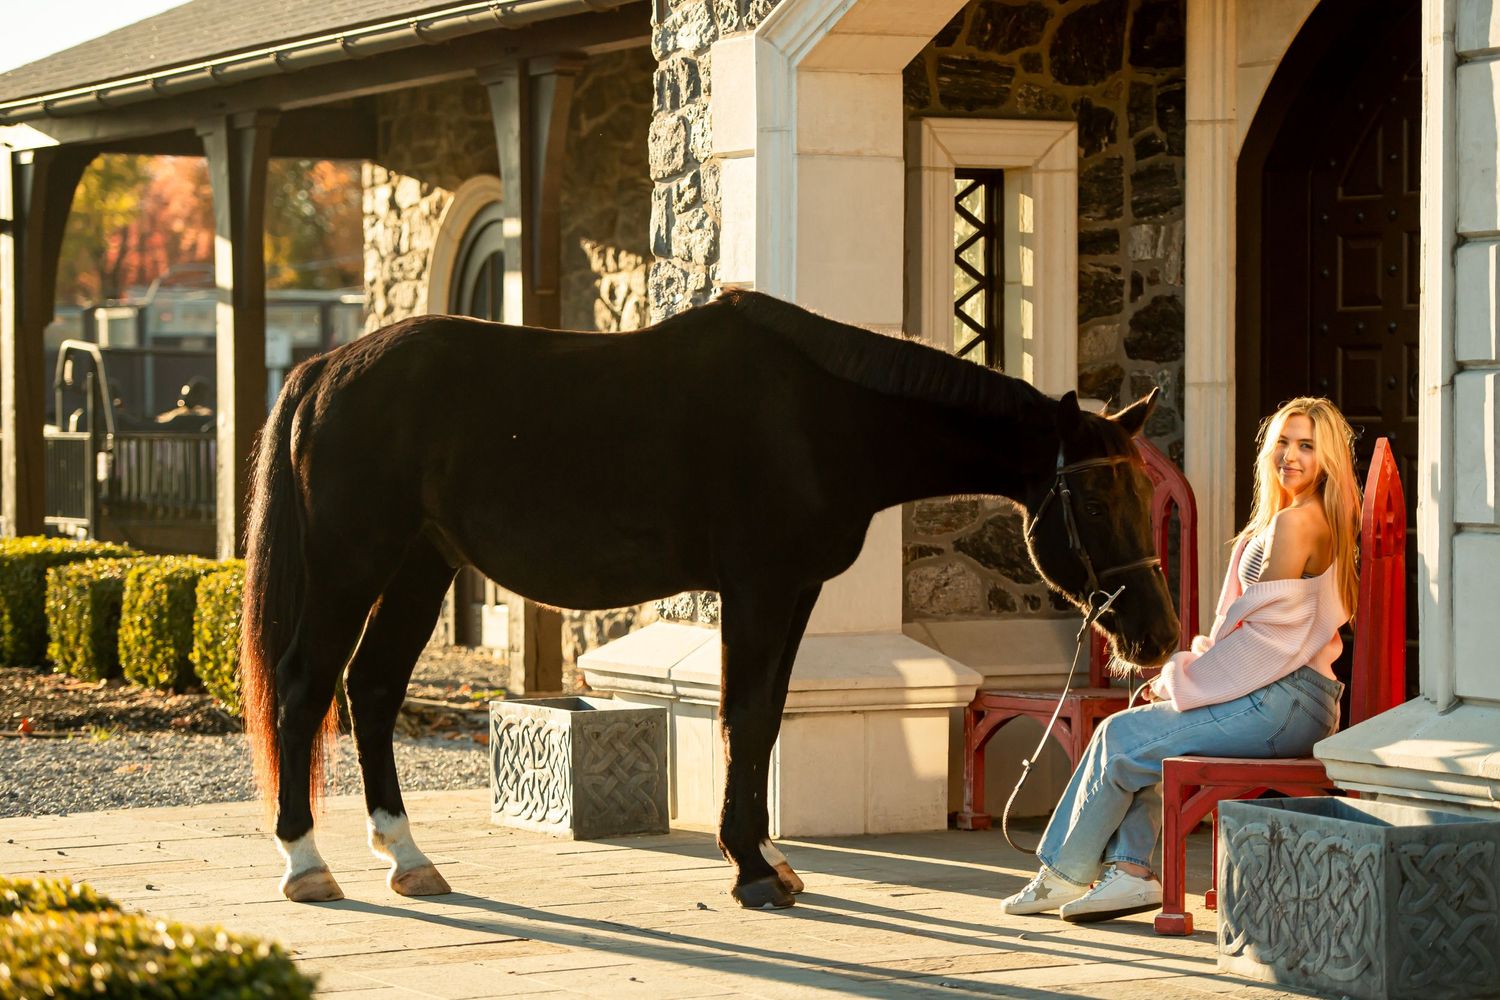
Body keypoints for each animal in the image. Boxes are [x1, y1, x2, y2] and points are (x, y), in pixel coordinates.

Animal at [238, 288, 1180, 909]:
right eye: (1097, 499)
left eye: (1144, 493)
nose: (1160, 636)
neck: (822, 416)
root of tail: (325, 368)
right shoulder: (758, 587)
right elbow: (743, 715)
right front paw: (752, 869)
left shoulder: (794, 591)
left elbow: (764, 717)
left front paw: (766, 858)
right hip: (352, 563)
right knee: (305, 689)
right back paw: (305, 863)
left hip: (418, 565)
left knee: (371, 688)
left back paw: (406, 856)